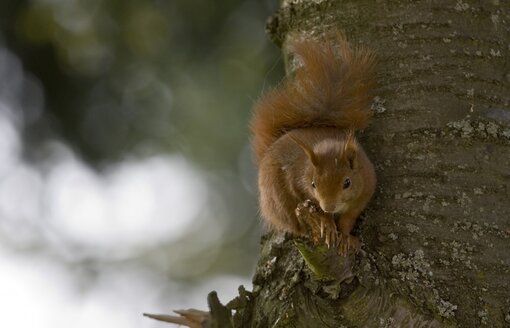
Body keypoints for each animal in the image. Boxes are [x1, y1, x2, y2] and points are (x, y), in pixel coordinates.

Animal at [249, 32, 376, 255]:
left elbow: (348, 219)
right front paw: (328, 224)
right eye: (313, 184)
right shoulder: (299, 184)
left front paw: (345, 237)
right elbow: (317, 210)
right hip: (278, 200)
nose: (329, 206)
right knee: (294, 223)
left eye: (347, 182)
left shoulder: (364, 193)